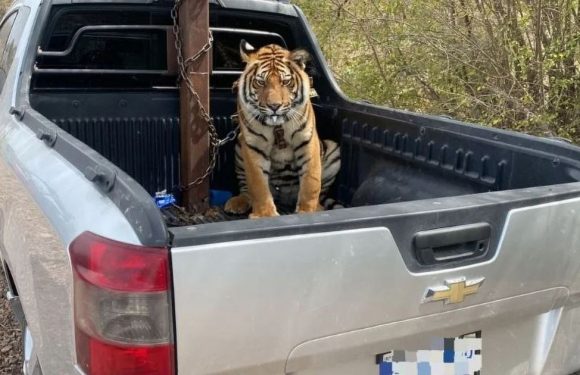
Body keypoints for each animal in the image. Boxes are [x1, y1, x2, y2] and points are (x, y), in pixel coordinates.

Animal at [222, 39, 340, 219]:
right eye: (261, 82)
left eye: (285, 82)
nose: (274, 106)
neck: (277, 126)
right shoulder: (253, 146)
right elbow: (257, 185)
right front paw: (265, 215)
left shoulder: (307, 141)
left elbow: (311, 182)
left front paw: (308, 212)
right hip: (239, 145)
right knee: (246, 189)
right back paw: (238, 202)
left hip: (333, 149)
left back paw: (319, 207)